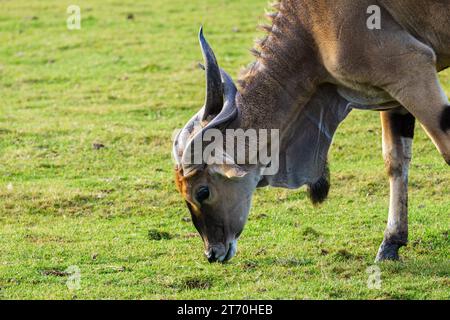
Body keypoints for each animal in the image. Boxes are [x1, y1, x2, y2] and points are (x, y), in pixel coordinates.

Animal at [172, 0, 450, 262]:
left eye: (202, 191)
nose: (212, 253)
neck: (310, 27)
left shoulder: (410, 70)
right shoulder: (391, 93)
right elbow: (395, 162)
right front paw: (391, 244)